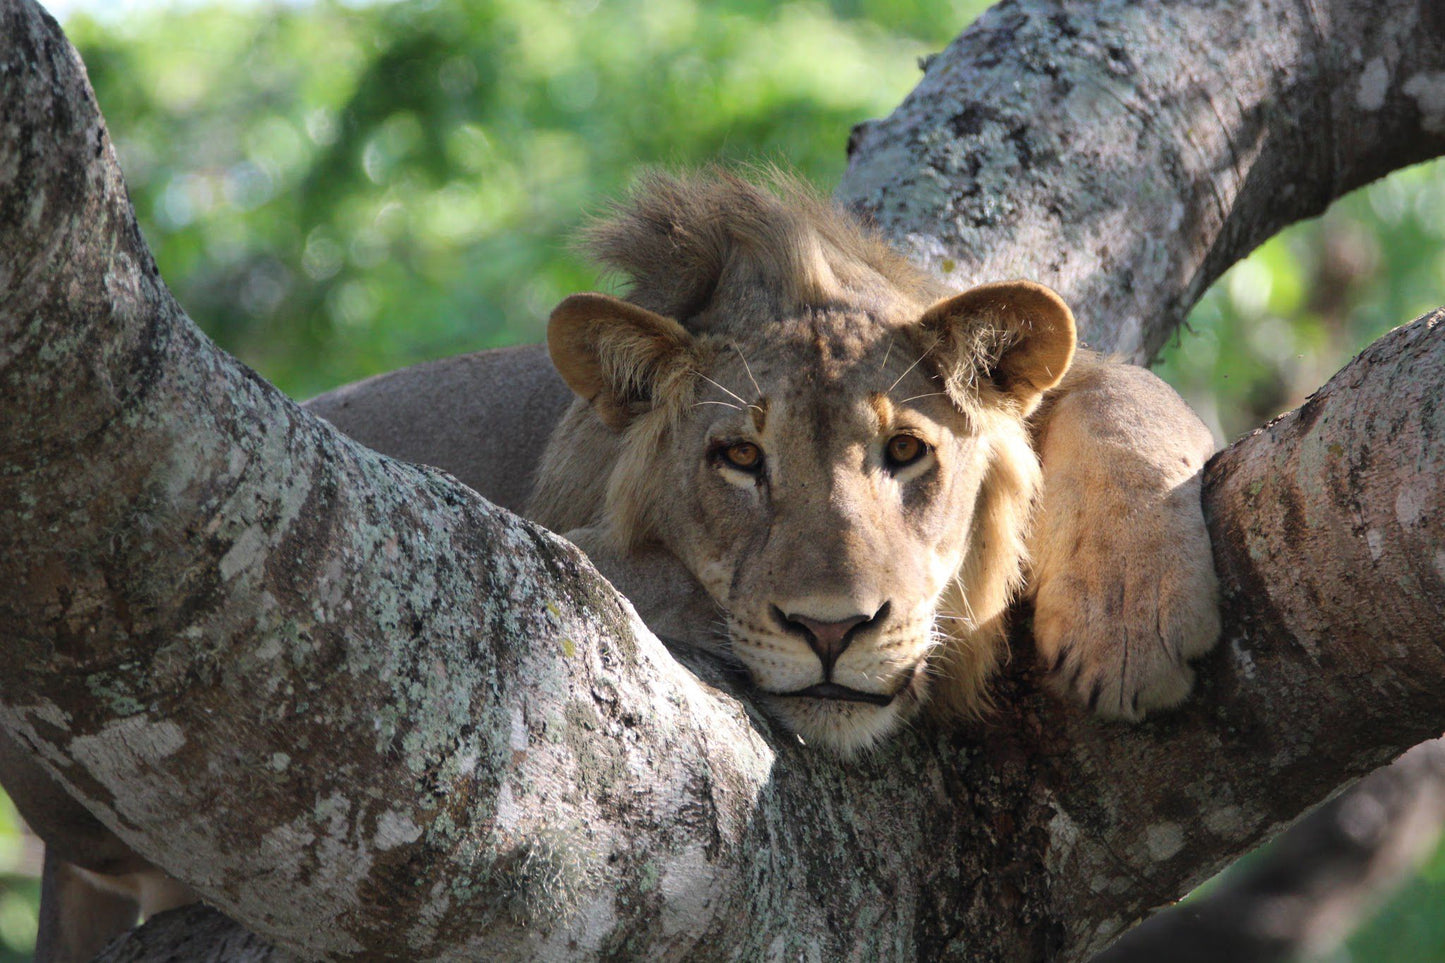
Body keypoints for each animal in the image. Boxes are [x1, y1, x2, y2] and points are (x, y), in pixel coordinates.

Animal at [531, 168, 1219, 751]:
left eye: (906, 449)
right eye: (742, 456)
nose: (830, 631)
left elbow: (1131, 396)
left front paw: (1129, 619)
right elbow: (612, 562)